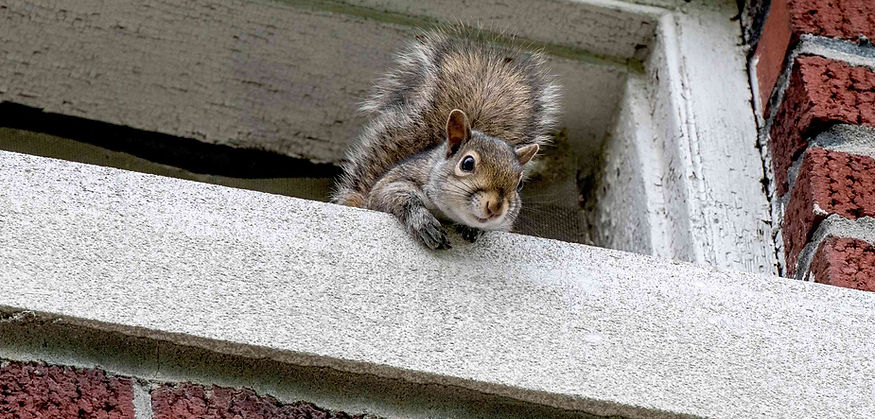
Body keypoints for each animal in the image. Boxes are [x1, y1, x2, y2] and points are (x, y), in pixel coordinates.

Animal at [331, 27, 560, 249]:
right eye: (467, 164)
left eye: (520, 184)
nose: (495, 206)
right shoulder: (391, 185)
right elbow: (395, 197)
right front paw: (422, 222)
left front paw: (472, 228)